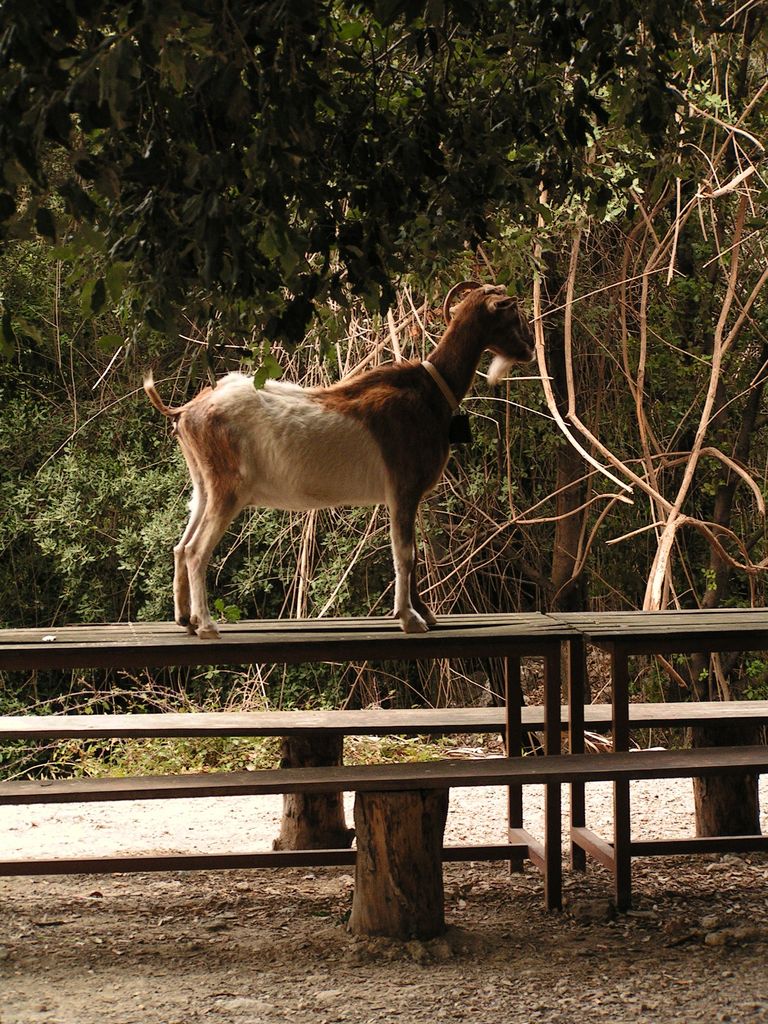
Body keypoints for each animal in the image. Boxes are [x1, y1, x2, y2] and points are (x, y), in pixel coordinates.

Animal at [147, 280, 536, 630]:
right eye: (513, 314)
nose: (531, 348)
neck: (432, 391)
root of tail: (186, 410)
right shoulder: (403, 488)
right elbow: (405, 554)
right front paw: (408, 618)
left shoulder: (406, 496)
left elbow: (414, 554)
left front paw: (425, 613)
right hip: (228, 489)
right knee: (197, 551)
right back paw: (207, 625)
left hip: (204, 486)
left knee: (181, 546)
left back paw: (185, 618)